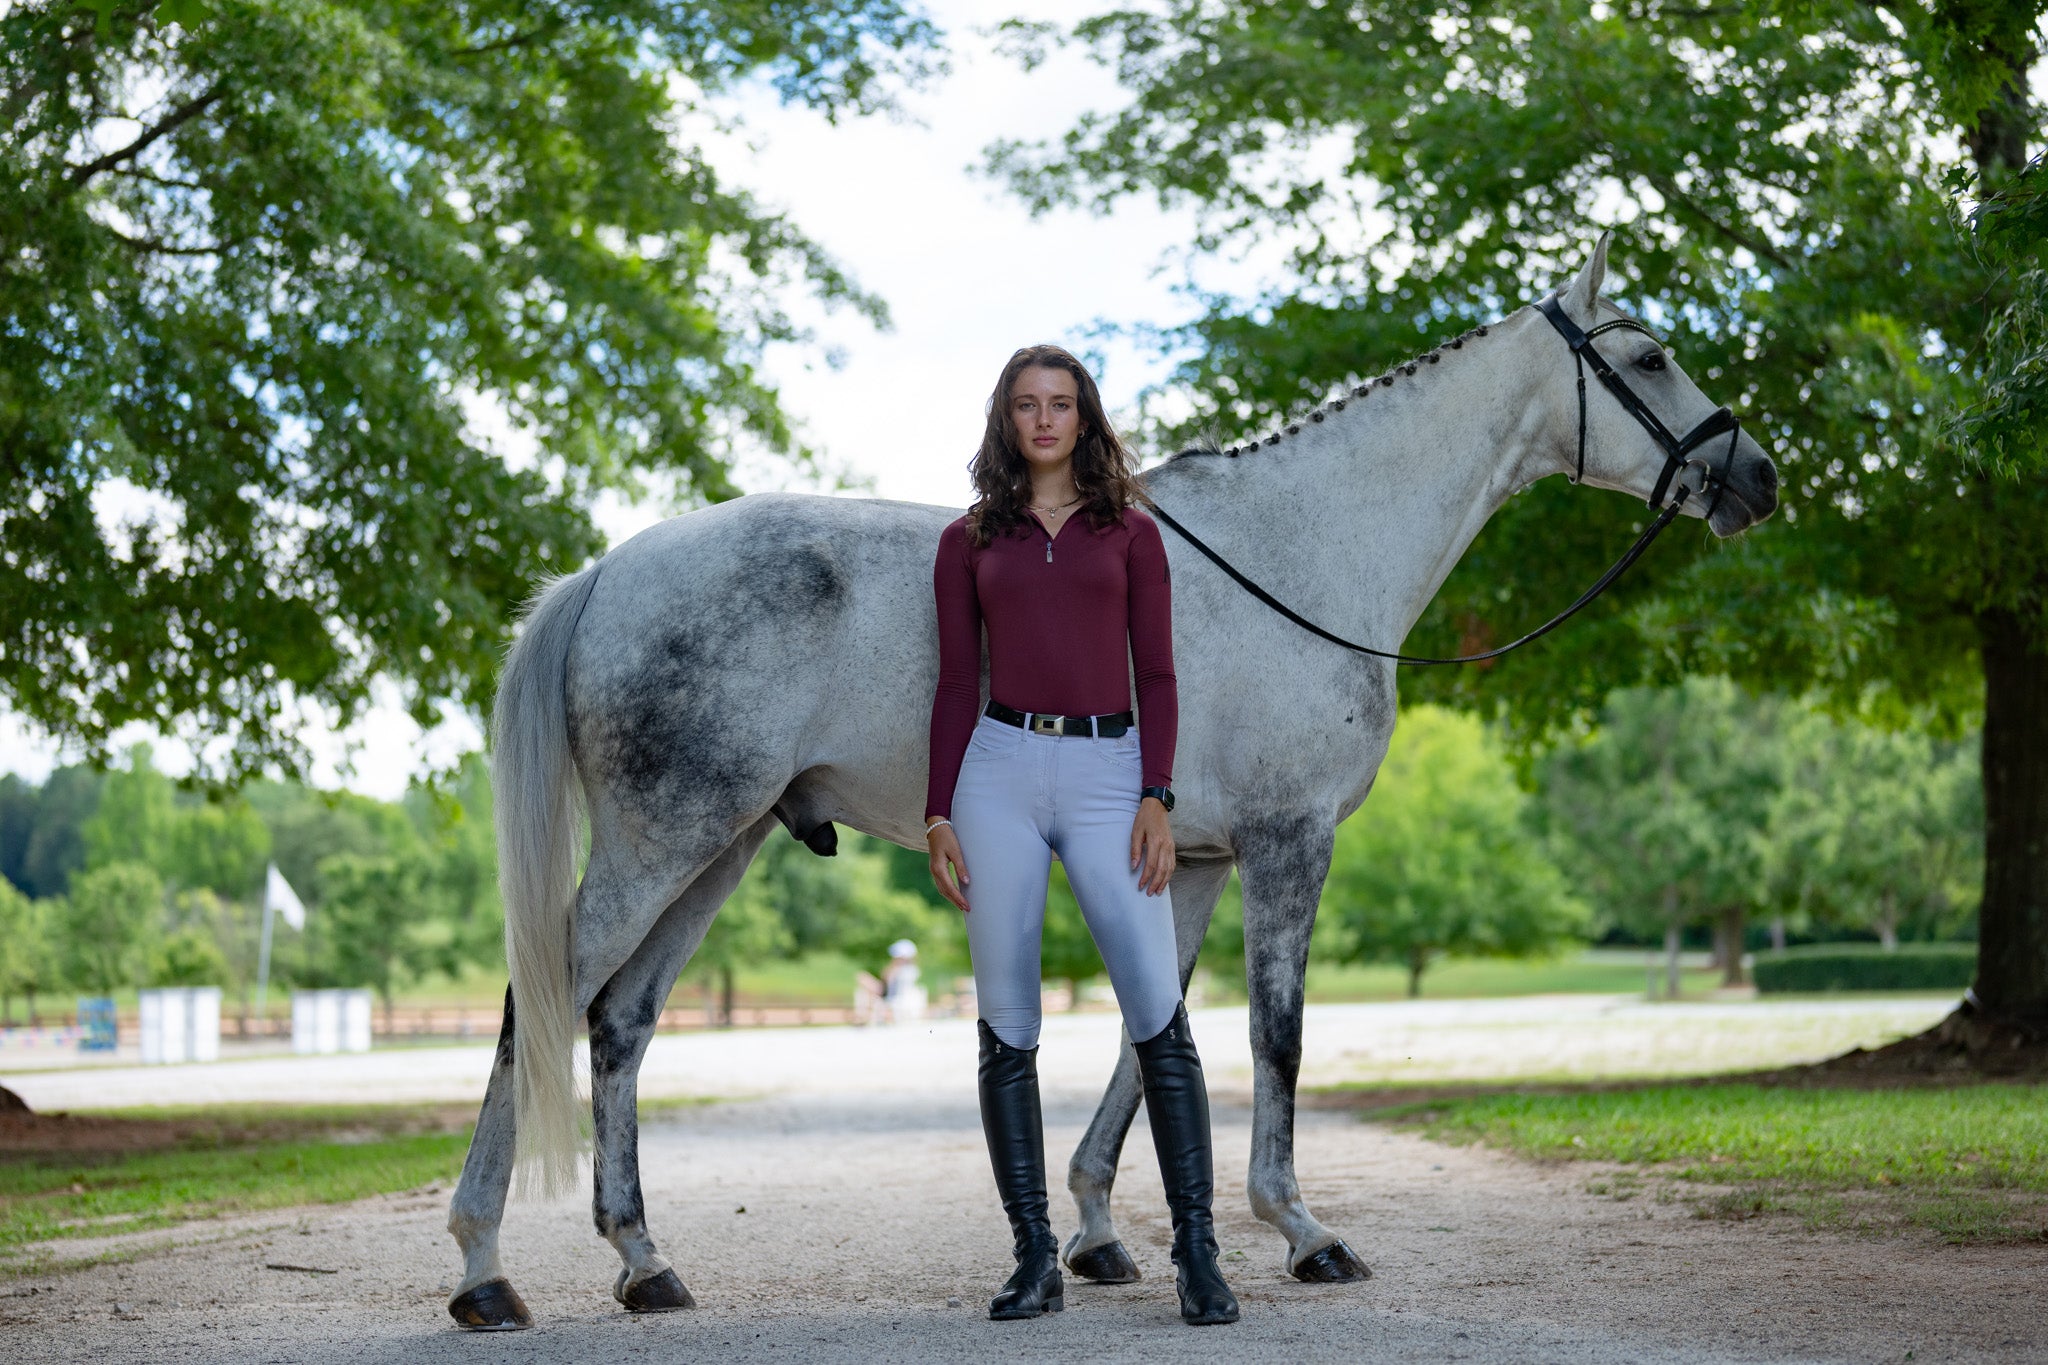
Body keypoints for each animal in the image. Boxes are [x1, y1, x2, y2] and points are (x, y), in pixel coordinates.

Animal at [448, 240, 1777, 1326]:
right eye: (1648, 358)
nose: (1755, 477)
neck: (1301, 551)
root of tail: (606, 574)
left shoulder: (1183, 860)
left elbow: (1154, 1037)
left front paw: (1093, 1230)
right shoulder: (1289, 844)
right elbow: (1277, 1034)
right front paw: (1300, 1231)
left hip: (714, 849)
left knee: (617, 1024)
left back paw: (643, 1262)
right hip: (660, 844)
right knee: (540, 1002)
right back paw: (483, 1269)